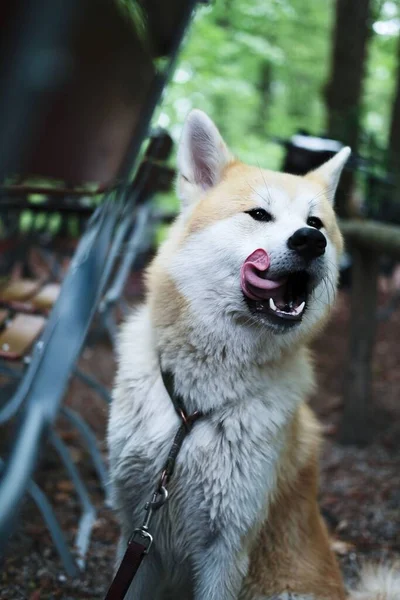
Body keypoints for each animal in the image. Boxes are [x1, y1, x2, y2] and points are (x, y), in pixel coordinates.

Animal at [108, 110, 398, 596]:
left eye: (317, 222)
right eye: (259, 215)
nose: (309, 240)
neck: (194, 410)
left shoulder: (226, 549)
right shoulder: (138, 527)